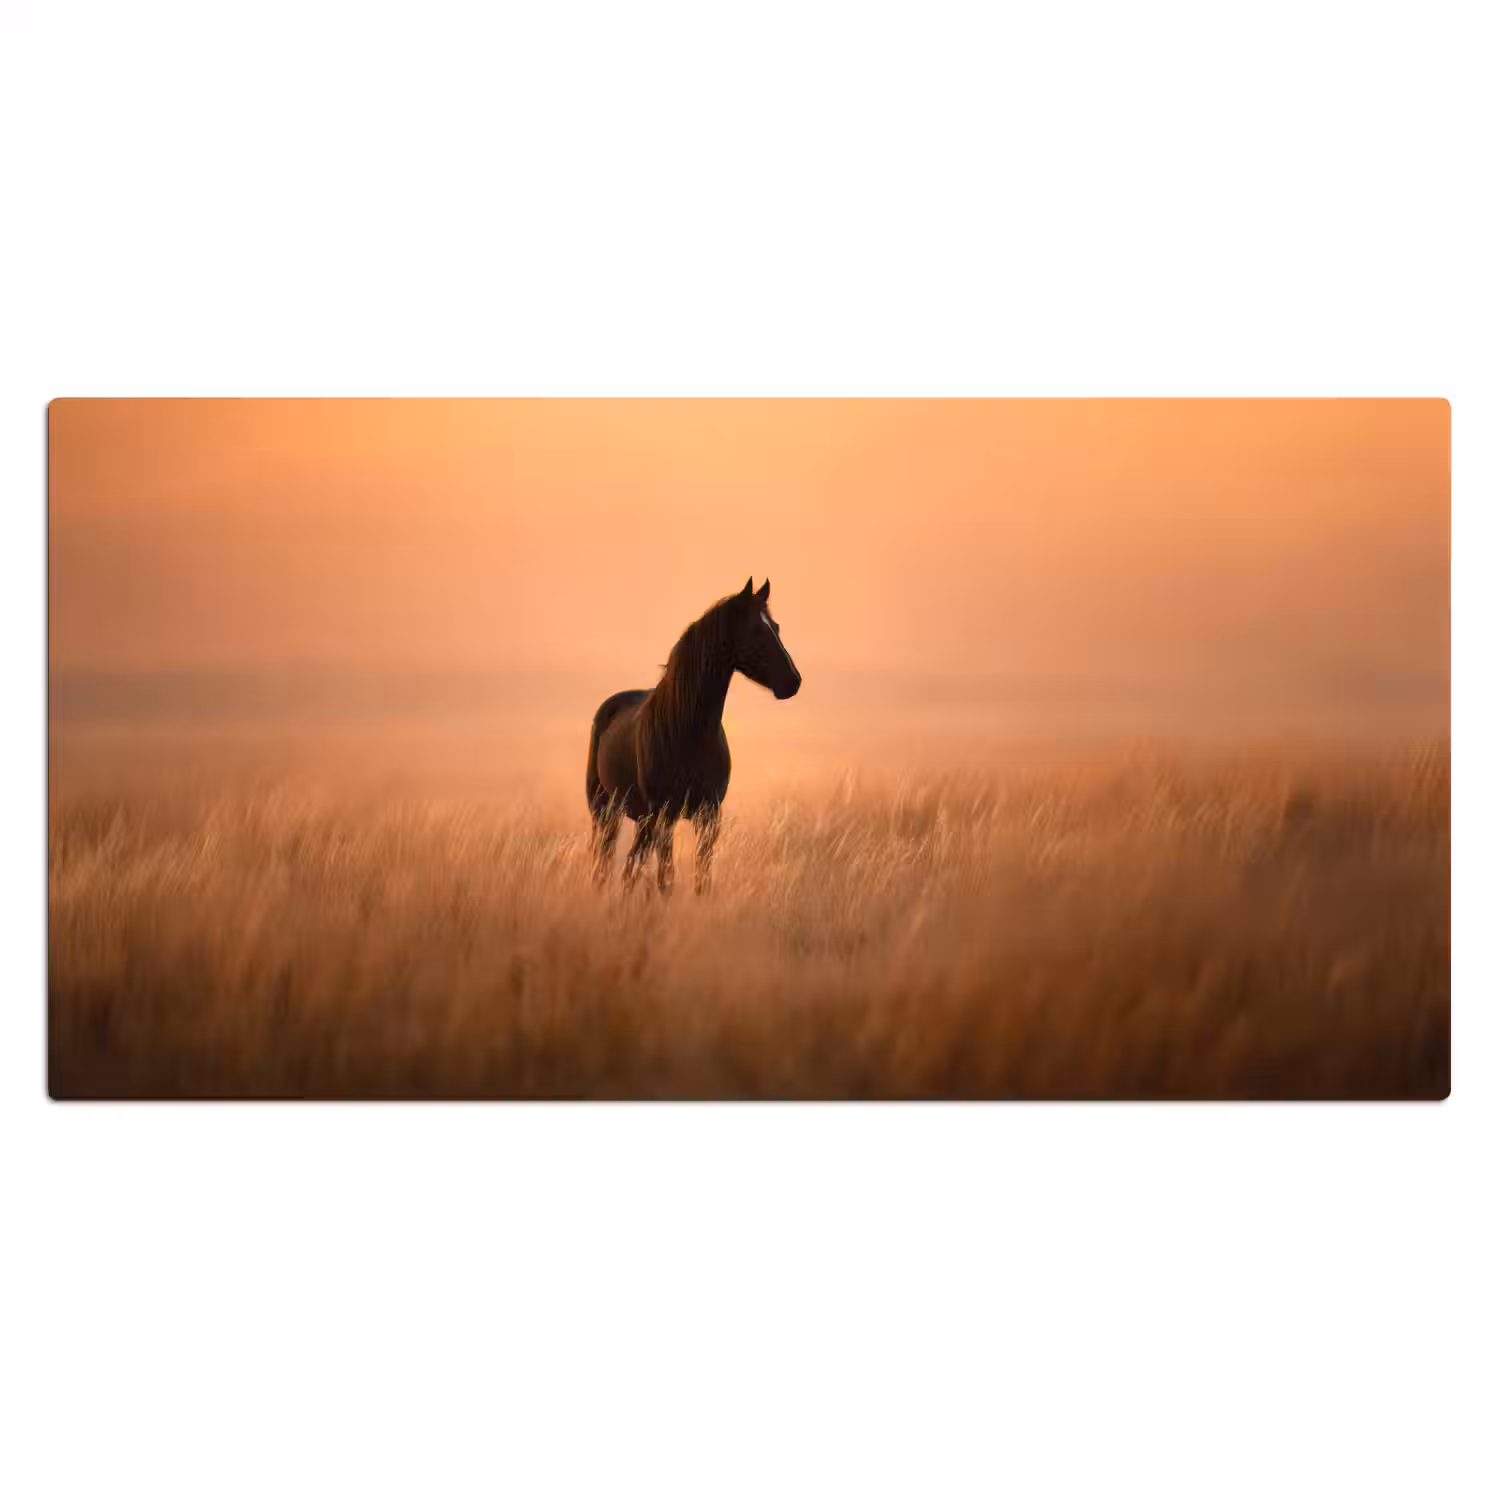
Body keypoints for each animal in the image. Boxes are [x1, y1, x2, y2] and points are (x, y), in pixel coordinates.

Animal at [585, 577, 802, 894]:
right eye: (755, 630)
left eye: (776, 626)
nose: (793, 682)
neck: (689, 730)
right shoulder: (665, 815)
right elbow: (666, 879)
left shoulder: (708, 815)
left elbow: (702, 877)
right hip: (606, 810)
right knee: (607, 863)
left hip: (641, 819)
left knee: (630, 867)